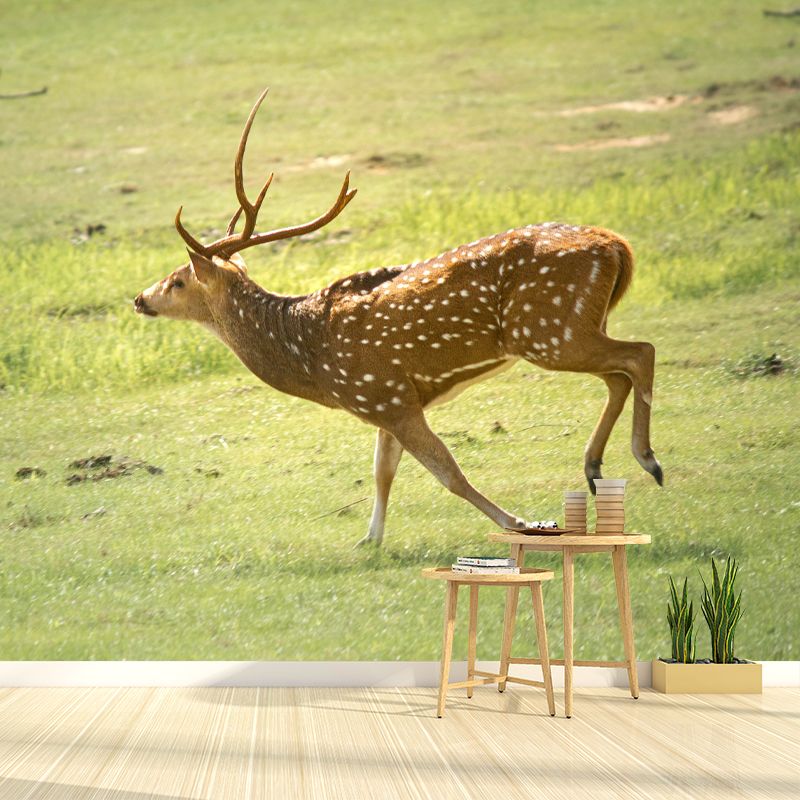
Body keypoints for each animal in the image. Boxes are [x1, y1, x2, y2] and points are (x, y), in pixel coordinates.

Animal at [134, 88, 663, 546]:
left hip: (548, 330)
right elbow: (383, 471)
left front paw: (521, 522)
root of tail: (617, 245)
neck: (313, 362)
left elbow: (448, 471)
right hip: (575, 328)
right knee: (618, 373)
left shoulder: (386, 396)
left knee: (640, 352)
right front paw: (368, 540)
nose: (140, 298)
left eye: (178, 280)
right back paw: (595, 467)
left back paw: (647, 460)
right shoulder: (384, 401)